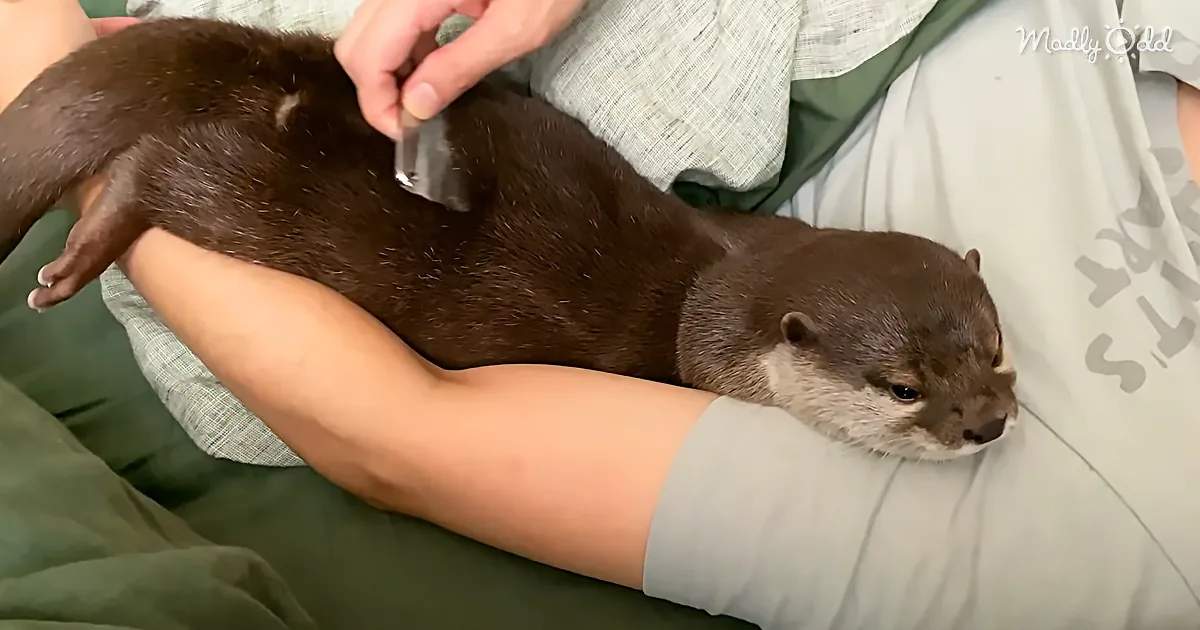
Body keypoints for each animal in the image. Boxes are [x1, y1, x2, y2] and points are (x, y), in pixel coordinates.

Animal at [0, 18, 1017, 461]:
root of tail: (295, 68)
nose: (988, 422)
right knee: (155, 170)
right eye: (903, 388)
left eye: (998, 348)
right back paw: (74, 260)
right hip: (266, 206)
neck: (712, 301)